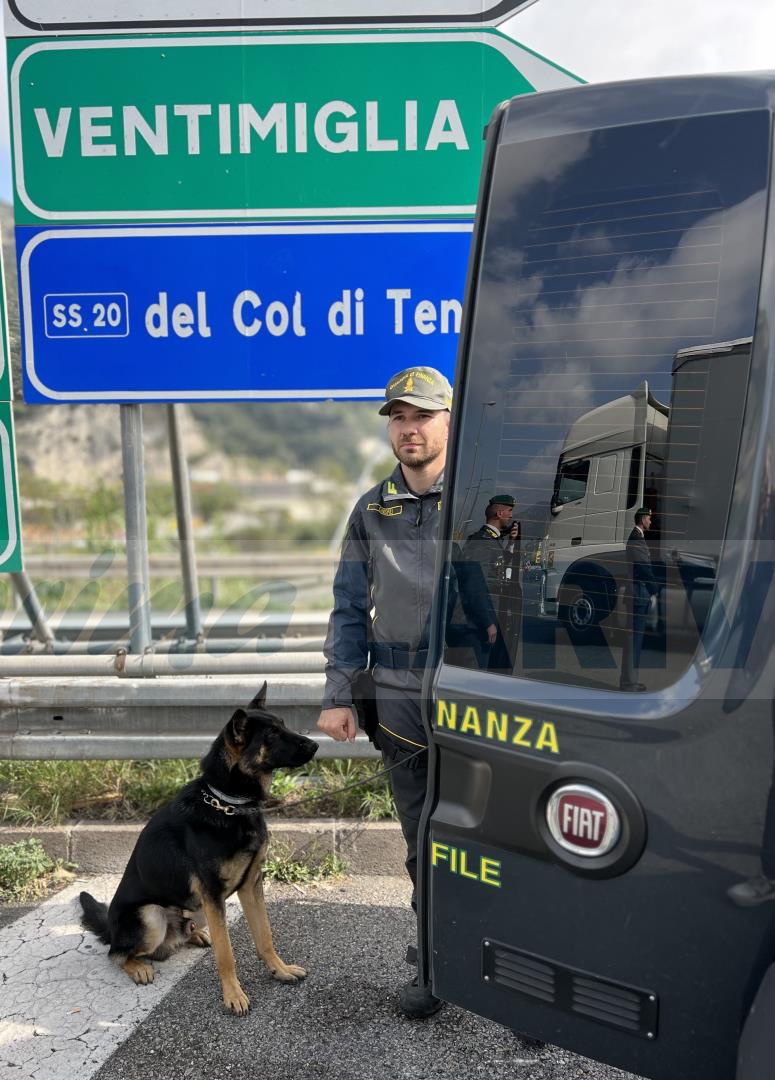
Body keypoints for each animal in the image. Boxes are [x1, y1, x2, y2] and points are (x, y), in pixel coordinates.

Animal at [78, 682, 319, 1010]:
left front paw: (279, 969)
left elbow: (264, 935)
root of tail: (112, 929)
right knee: (117, 953)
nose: (316, 745)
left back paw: (195, 935)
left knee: (180, 934)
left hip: (197, 908)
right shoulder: (214, 894)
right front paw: (233, 995)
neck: (228, 803)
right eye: (271, 734)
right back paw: (138, 966)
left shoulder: (251, 885)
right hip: (152, 915)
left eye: (283, 725)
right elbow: (226, 952)